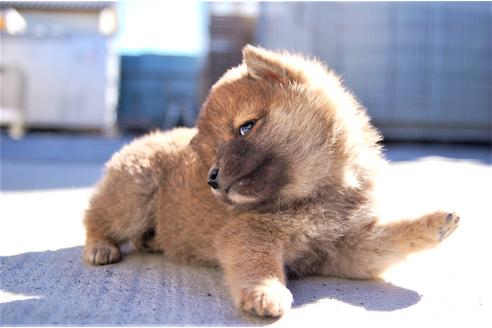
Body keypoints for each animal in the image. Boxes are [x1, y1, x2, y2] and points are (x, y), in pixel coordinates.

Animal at [82, 44, 460, 316]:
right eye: (212, 154)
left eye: (245, 127)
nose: (212, 178)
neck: (319, 196)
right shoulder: (251, 234)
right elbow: (258, 265)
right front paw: (265, 293)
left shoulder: (347, 248)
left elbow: (387, 238)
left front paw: (433, 224)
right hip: (133, 198)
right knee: (95, 217)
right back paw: (101, 247)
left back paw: (151, 241)